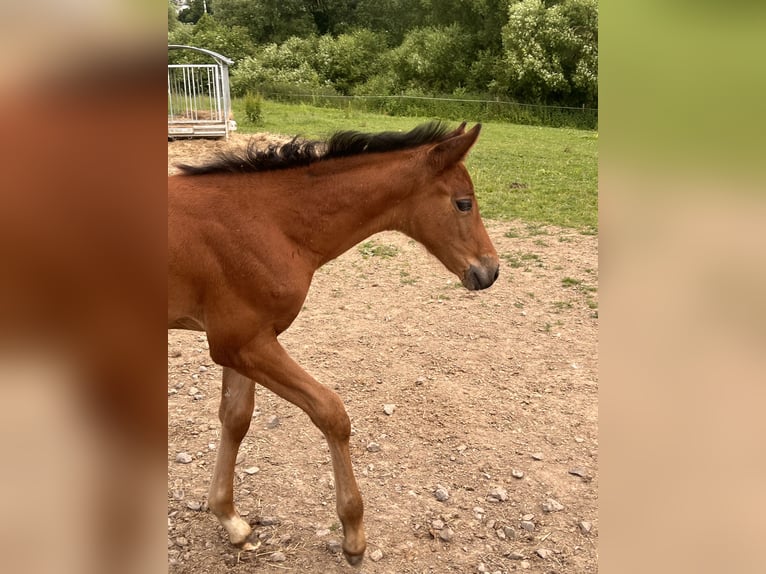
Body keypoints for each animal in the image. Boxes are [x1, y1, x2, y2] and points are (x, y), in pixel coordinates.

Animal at [169, 121, 500, 568]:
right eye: (464, 204)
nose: (491, 270)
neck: (271, 221)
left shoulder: (240, 340)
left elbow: (236, 417)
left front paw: (231, 521)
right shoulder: (242, 341)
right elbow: (331, 412)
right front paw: (354, 535)